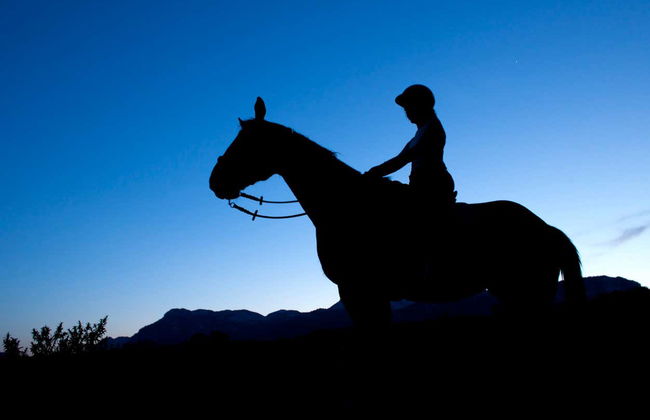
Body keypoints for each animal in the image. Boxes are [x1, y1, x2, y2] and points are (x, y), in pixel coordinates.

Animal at [210, 97, 586, 329]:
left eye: (246, 144)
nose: (216, 181)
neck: (347, 207)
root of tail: (547, 228)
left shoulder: (358, 291)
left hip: (529, 294)